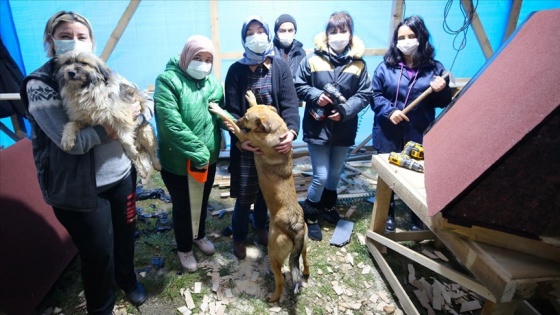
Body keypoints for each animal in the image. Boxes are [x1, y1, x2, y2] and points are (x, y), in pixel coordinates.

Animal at [55, 52, 161, 180]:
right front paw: (67, 139)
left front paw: (131, 149)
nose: (70, 72)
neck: (85, 92)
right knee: (137, 159)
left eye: (84, 63)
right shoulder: (83, 119)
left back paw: (156, 164)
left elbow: (125, 138)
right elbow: (71, 124)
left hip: (145, 134)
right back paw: (142, 171)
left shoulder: (120, 115)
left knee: (151, 151)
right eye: (67, 63)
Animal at [209, 92, 308, 304]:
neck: (275, 129)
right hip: (304, 246)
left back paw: (273, 298)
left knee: (280, 280)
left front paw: (218, 109)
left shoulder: (245, 135)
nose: (239, 119)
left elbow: (228, 118)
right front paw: (252, 96)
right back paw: (305, 274)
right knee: (304, 261)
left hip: (274, 254)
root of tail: (295, 226)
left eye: (246, 118)